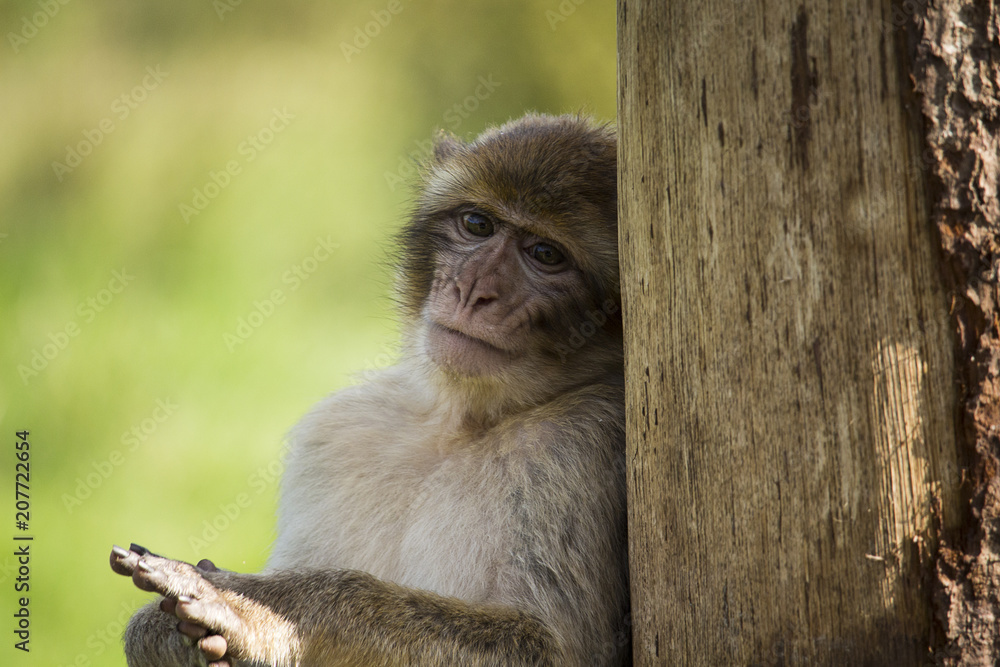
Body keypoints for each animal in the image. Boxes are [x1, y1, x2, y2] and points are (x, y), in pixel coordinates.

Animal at [110, 113, 629, 667]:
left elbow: (549, 647)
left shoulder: (584, 447)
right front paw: (167, 635)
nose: (473, 291)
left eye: (545, 254)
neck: (461, 424)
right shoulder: (339, 431)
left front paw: (261, 607)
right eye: (477, 224)